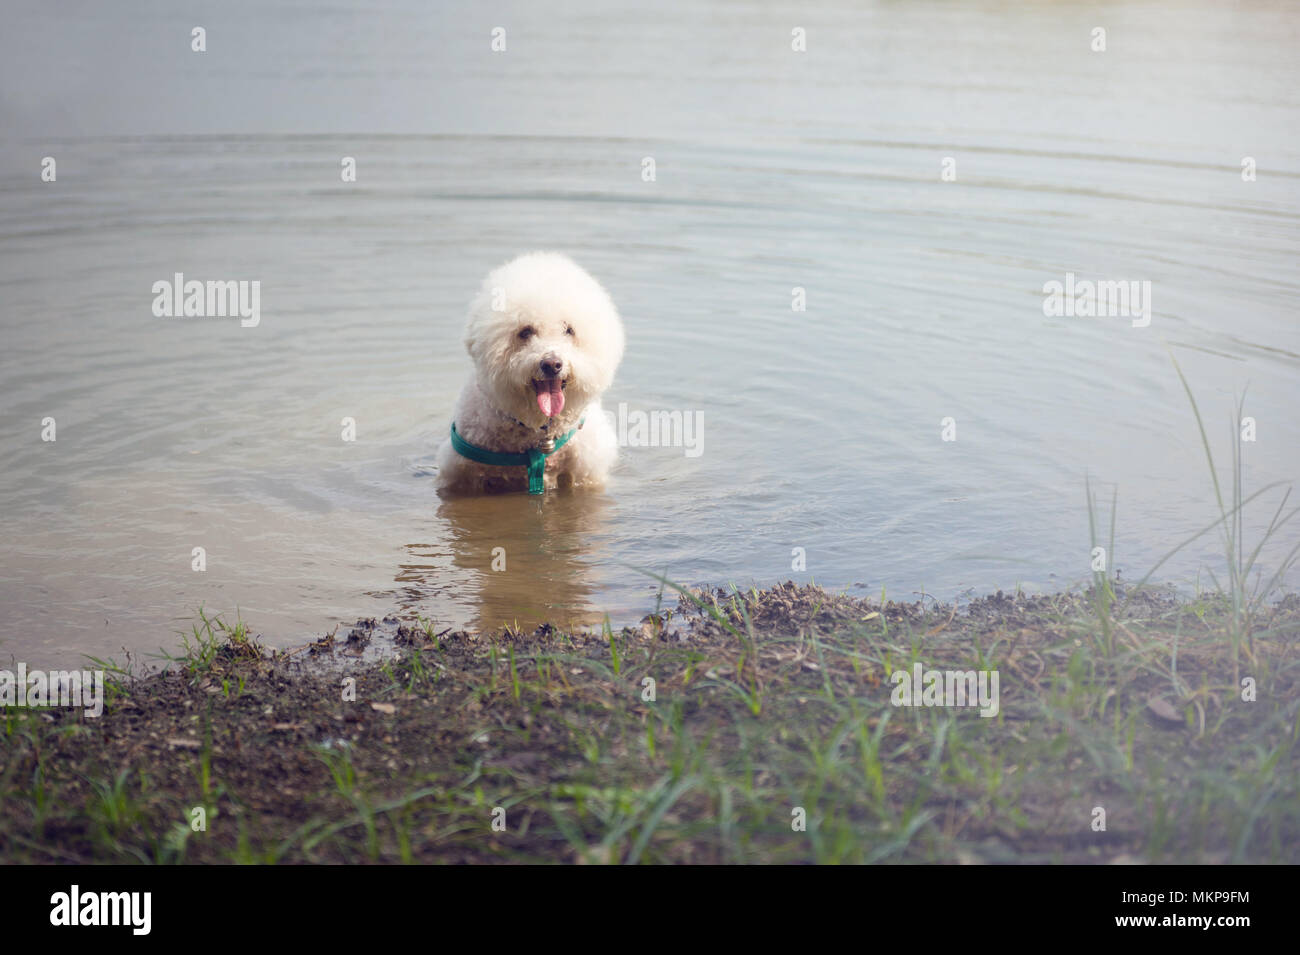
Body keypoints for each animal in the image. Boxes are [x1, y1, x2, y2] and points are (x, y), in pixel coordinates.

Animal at [434, 250, 626, 496]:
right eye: (525, 331)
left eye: (569, 330)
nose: (552, 364)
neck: (539, 433)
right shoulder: (460, 475)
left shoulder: (586, 473)